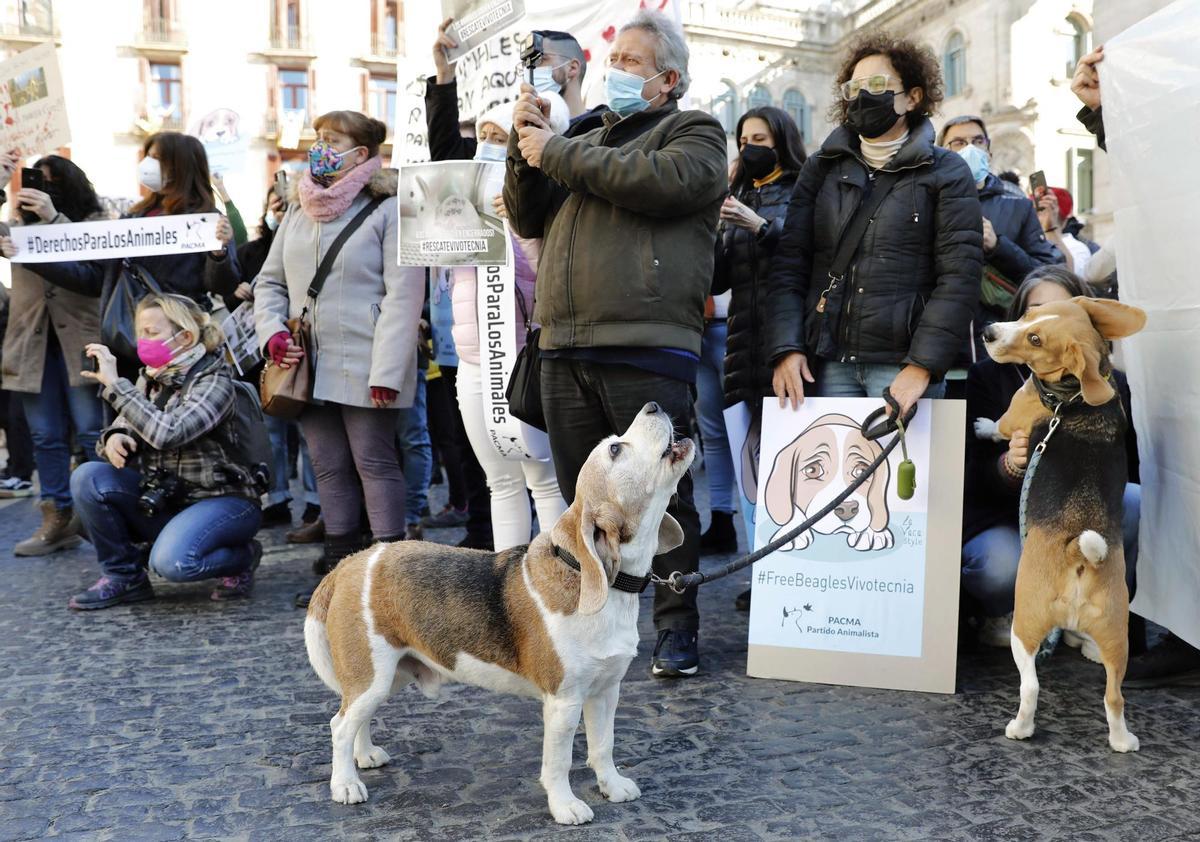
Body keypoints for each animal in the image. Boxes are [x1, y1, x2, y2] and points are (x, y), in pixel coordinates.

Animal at [302, 405, 696, 830]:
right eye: (615, 449)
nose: (653, 407)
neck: (603, 579)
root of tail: (351, 562)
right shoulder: (563, 702)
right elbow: (559, 762)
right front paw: (565, 806)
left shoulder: (606, 691)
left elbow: (602, 747)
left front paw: (612, 786)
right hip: (372, 676)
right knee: (340, 725)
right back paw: (345, 784)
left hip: (387, 676)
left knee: (354, 720)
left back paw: (364, 756)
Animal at [979, 295, 1147, 753]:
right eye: (1029, 315)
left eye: (1035, 339)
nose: (988, 332)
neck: (1072, 397)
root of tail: (1079, 553)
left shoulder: (1014, 417)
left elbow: (999, 426)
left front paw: (981, 426)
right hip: (1117, 634)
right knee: (1114, 696)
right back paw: (1123, 740)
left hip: (1023, 625)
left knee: (1031, 686)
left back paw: (1020, 728)